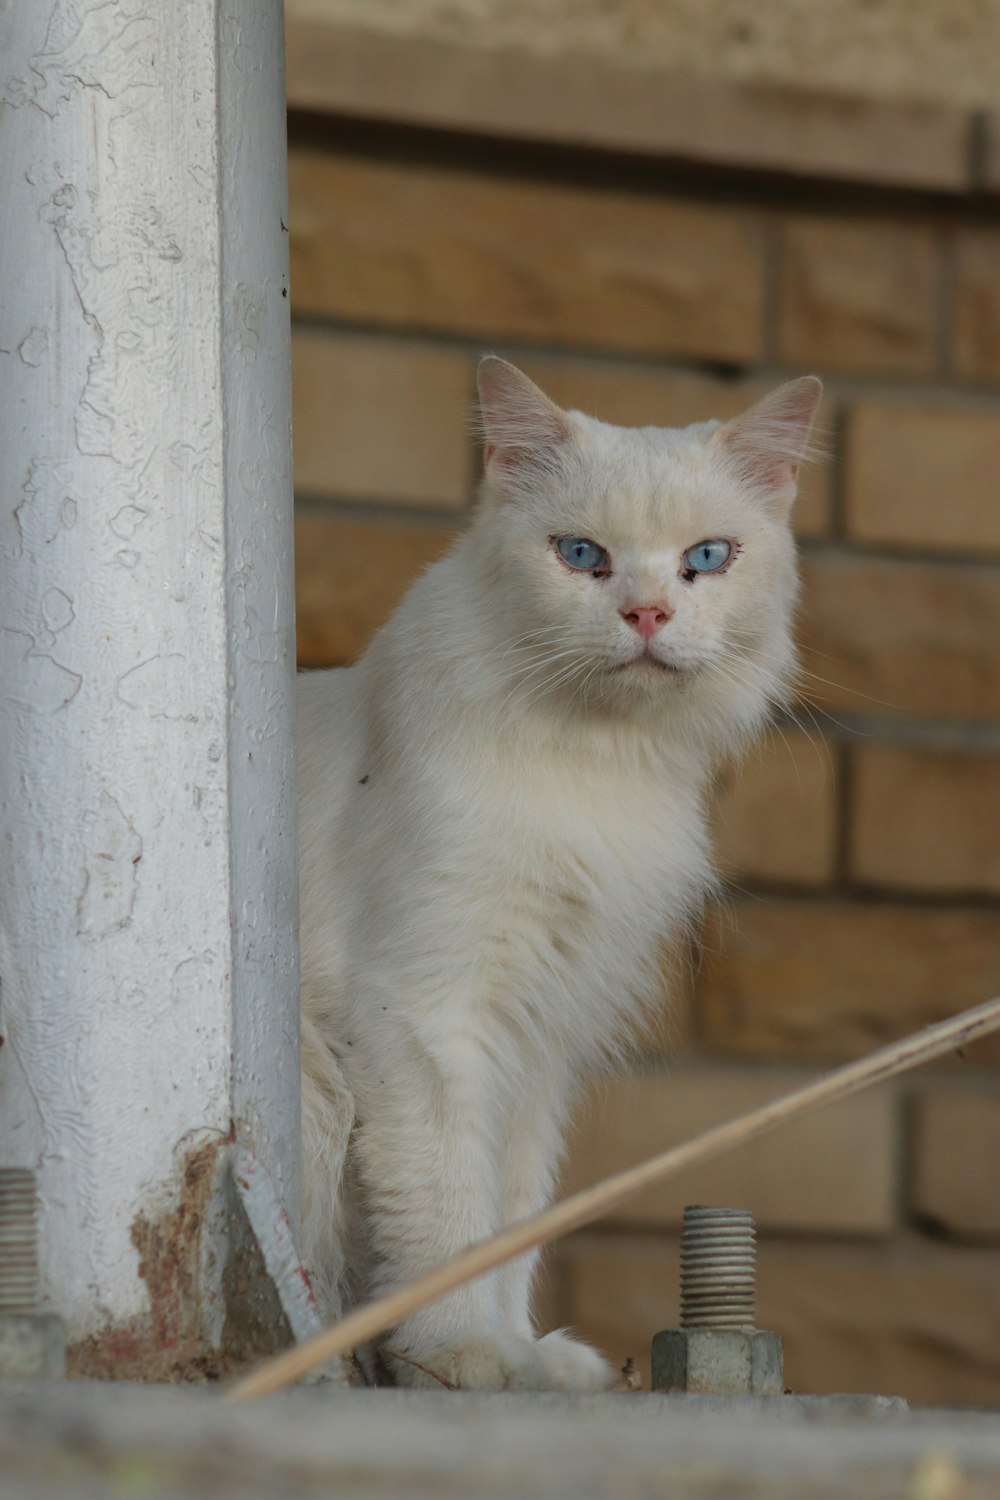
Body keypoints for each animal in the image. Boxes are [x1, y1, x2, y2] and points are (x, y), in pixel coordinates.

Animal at [295, 357, 821, 1386]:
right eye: (581, 556)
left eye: (706, 559)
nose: (647, 614)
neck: (595, 763)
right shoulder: (432, 1016)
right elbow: (449, 1215)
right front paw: (461, 1353)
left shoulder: (536, 1039)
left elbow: (512, 1218)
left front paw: (528, 1357)